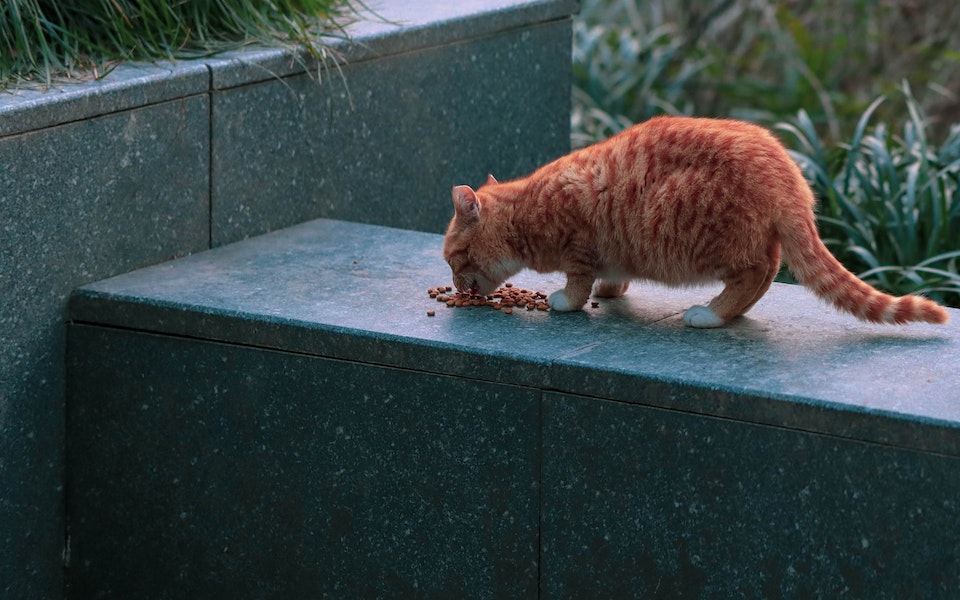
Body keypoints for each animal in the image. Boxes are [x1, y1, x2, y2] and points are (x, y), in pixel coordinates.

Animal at [444, 114, 952, 326]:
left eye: (453, 259)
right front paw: (612, 290)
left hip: (709, 239)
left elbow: (576, 284)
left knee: (757, 273)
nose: (453, 284)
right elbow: (613, 276)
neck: (529, 209)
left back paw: (712, 314)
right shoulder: (610, 254)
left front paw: (567, 302)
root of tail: (787, 177)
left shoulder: (579, 249)